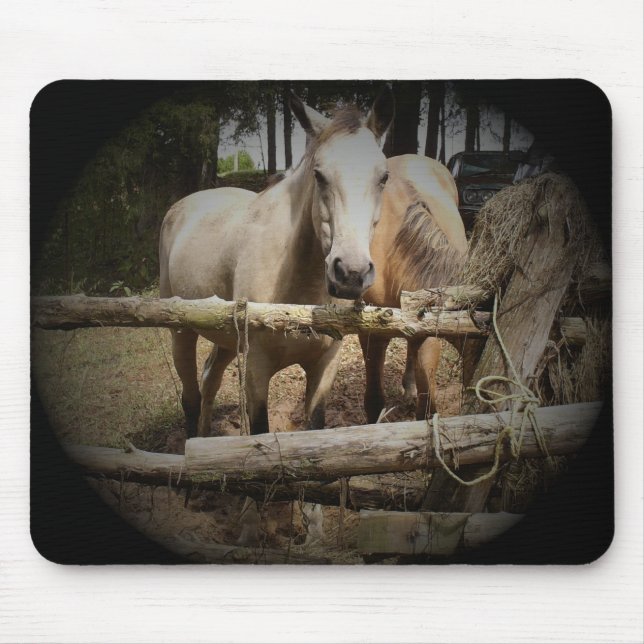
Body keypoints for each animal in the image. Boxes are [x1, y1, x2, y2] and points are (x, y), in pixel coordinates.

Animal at [159, 88, 395, 438]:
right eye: (319, 175)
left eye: (383, 177)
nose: (350, 273)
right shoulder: (256, 371)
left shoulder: (324, 367)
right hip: (182, 333)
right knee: (191, 397)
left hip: (226, 339)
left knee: (210, 378)